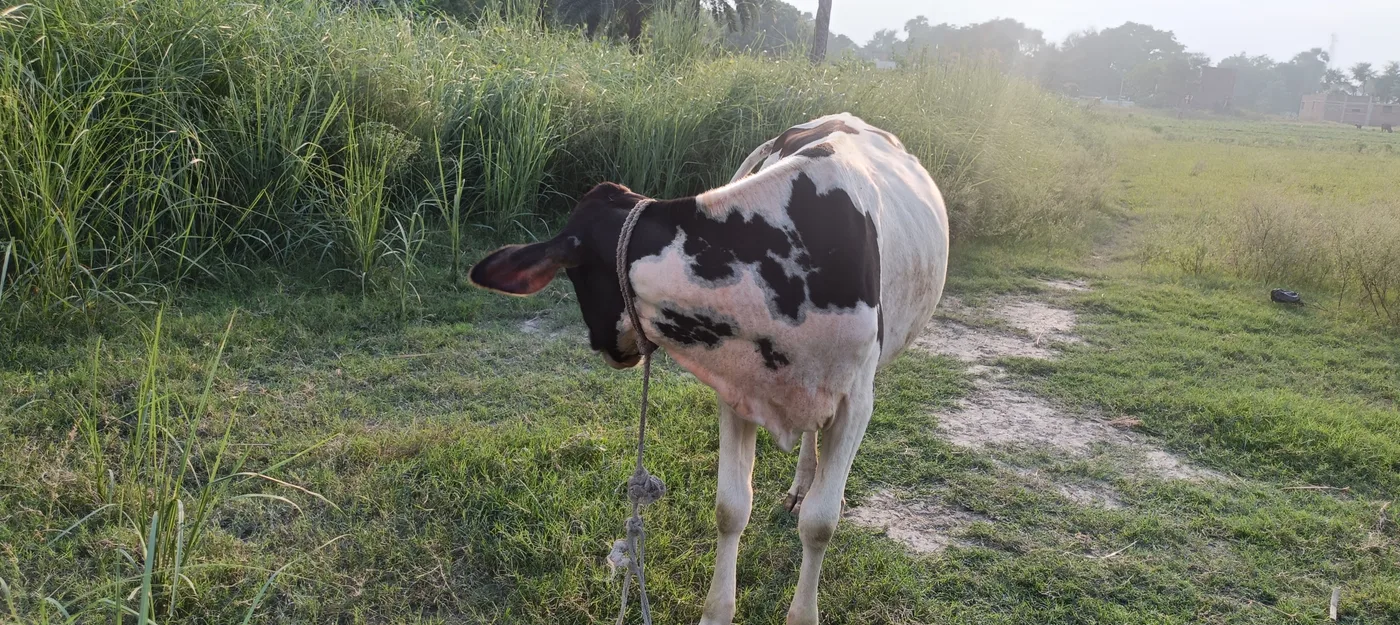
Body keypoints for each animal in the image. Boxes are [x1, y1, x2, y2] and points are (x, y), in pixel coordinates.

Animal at [469, 113, 949, 624]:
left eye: (576, 277)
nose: (605, 348)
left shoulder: (856, 398)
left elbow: (820, 525)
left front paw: (804, 609)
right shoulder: (737, 390)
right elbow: (730, 508)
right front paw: (717, 611)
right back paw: (802, 484)